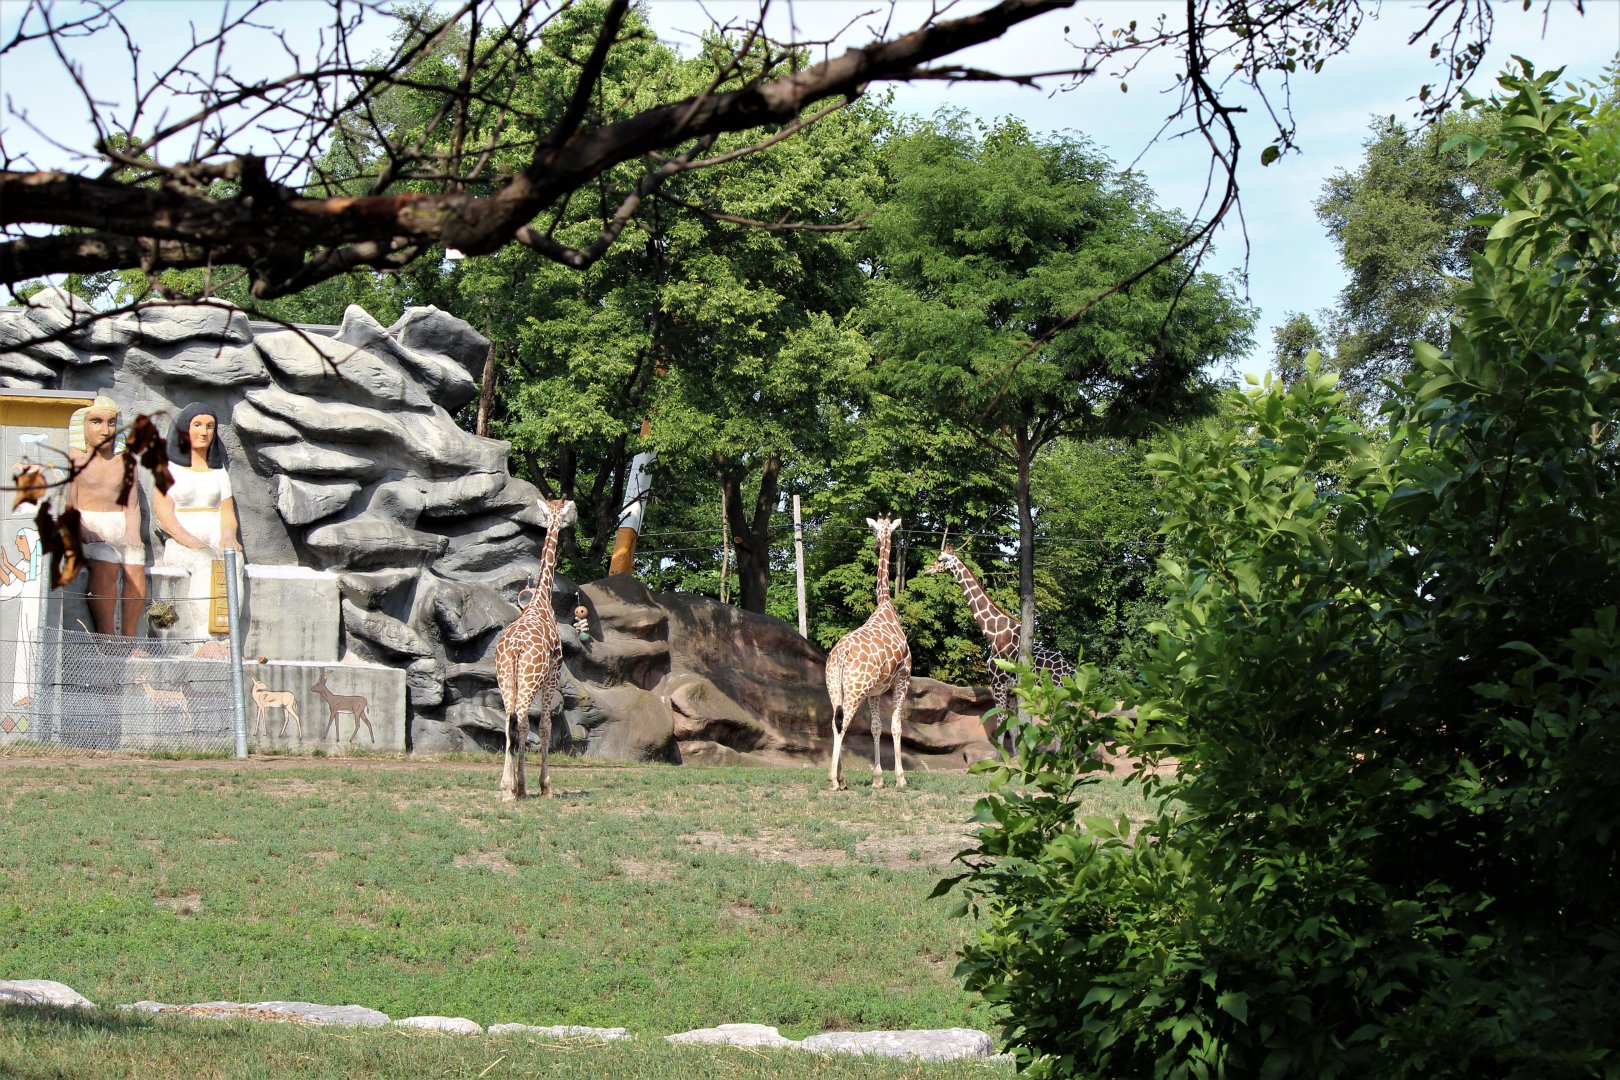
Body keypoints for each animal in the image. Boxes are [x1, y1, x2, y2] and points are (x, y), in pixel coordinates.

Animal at [494, 498, 577, 800]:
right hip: (529, 678)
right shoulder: (555, 669)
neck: (541, 599)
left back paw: (507, 788)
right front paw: (545, 786)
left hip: (505, 677)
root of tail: (516, 648)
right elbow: (544, 725)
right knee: (521, 720)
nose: (571, 521)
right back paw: (515, 788)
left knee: (509, 721)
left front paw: (521, 785)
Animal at [824, 515, 912, 791]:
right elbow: (895, 726)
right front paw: (900, 778)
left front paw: (878, 778)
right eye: (875, 529)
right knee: (842, 725)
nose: (875, 542)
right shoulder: (904, 678)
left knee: (834, 721)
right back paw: (833, 780)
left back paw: (842, 780)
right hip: (855, 689)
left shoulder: (875, 691)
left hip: (835, 687)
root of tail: (840, 656)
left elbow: (875, 727)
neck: (885, 604)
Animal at [924, 536, 1075, 751]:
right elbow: (1015, 727)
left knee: (1061, 725)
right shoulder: (1012, 691)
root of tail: (1071, 671)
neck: (994, 632)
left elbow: (1001, 724)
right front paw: (1017, 756)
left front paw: (1002, 757)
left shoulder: (998, 683)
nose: (927, 570)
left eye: (939, 559)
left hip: (1055, 693)